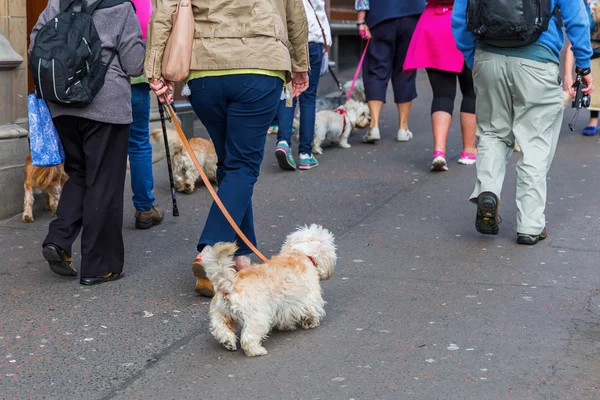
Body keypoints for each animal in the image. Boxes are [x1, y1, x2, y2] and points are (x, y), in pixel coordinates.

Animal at [203, 223, 338, 358]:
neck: (301, 253)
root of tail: (230, 285)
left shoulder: (283, 307)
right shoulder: (309, 298)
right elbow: (310, 311)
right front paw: (311, 322)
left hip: (219, 314)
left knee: (220, 329)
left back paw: (228, 343)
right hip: (257, 318)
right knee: (248, 338)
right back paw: (257, 351)